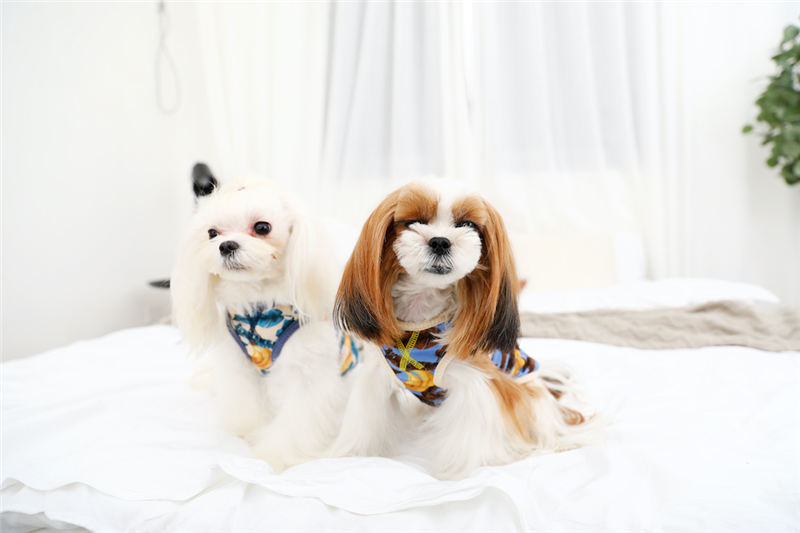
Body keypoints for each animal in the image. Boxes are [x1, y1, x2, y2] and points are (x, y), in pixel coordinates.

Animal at [171, 173, 358, 471]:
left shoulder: (308, 376)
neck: (258, 309)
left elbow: (297, 421)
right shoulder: (239, 367)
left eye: (262, 227)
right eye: (212, 233)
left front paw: (275, 455)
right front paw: (245, 432)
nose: (226, 245)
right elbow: (246, 403)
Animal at [332, 181, 597, 479]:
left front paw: (451, 473)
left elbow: (465, 435)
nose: (440, 241)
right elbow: (365, 422)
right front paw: (352, 457)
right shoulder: (376, 377)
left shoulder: (473, 384)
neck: (421, 321)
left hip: (531, 400)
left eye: (467, 224)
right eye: (413, 222)